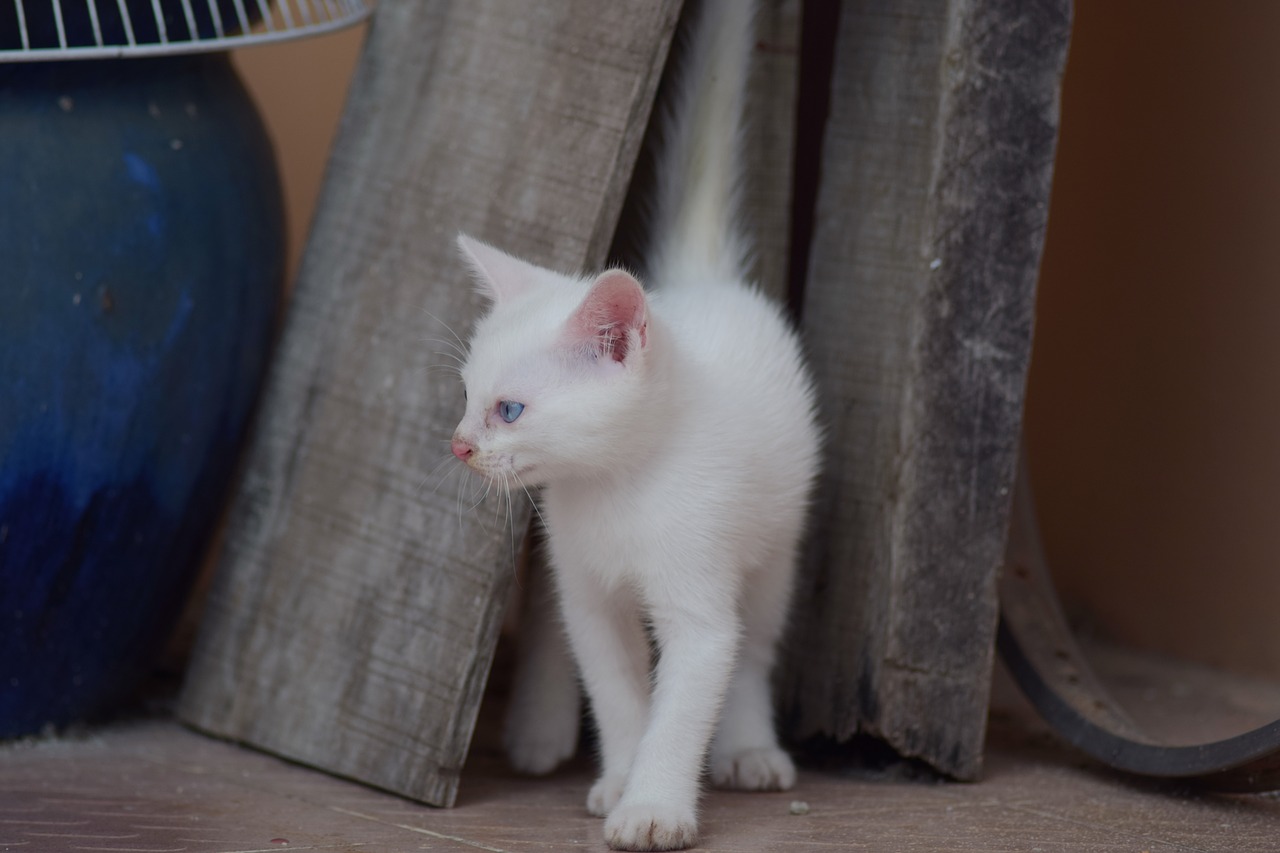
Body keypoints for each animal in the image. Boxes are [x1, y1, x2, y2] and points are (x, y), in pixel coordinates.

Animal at [450, 1, 819, 845]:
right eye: (465, 395)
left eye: (509, 408)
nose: (460, 444)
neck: (615, 487)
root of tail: (698, 280)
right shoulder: (588, 588)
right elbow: (618, 691)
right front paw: (620, 778)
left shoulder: (700, 598)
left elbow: (684, 702)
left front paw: (653, 805)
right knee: (551, 628)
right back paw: (539, 729)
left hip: (775, 545)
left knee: (755, 645)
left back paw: (749, 747)